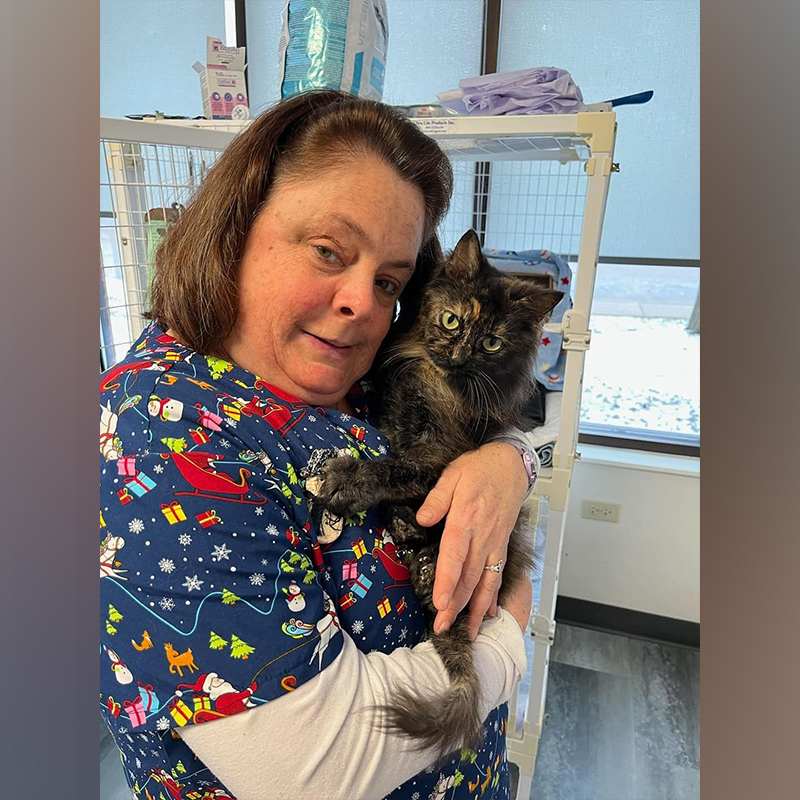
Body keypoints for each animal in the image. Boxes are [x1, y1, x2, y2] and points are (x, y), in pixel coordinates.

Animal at [314, 228, 564, 760]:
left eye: (491, 342)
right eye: (452, 320)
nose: (460, 354)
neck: (434, 381)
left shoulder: (440, 461)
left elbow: (394, 468)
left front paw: (348, 480)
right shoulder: (398, 422)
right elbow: (395, 458)